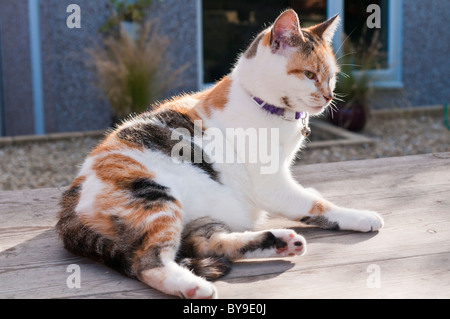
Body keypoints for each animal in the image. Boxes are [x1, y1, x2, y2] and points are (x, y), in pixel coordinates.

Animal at [57, 10, 384, 300]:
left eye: (332, 77)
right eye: (309, 74)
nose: (329, 97)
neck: (264, 105)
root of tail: (69, 199)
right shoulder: (273, 184)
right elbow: (316, 203)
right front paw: (361, 215)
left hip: (203, 215)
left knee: (207, 244)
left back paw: (281, 243)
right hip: (153, 196)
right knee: (147, 262)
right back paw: (192, 286)